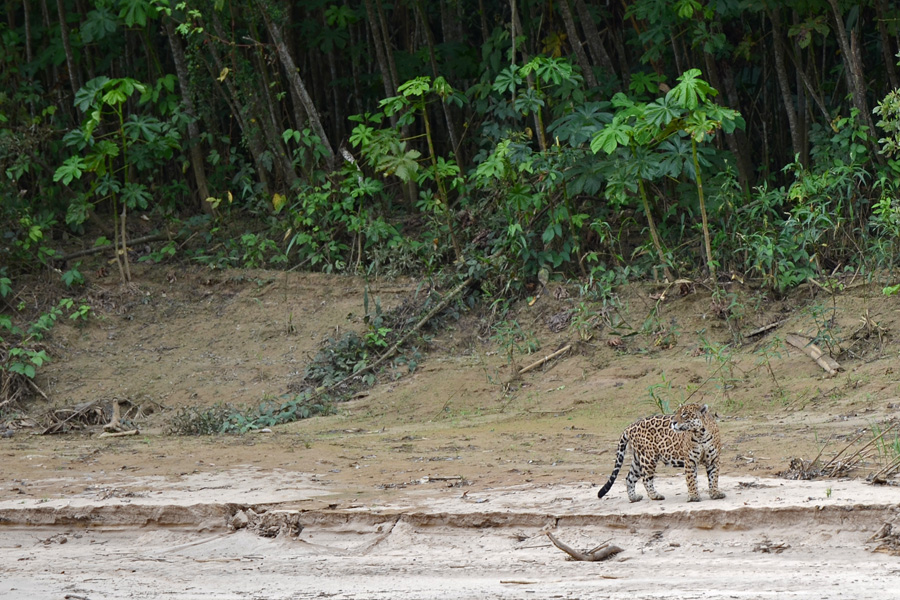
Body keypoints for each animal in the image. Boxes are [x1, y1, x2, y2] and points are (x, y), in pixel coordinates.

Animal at [596, 403, 725, 503]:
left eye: (684, 414)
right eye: (677, 413)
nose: (673, 422)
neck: (700, 434)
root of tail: (631, 426)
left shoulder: (713, 460)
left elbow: (713, 477)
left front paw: (715, 493)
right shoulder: (690, 461)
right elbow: (691, 479)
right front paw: (693, 496)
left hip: (638, 459)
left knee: (629, 478)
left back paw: (634, 498)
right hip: (648, 457)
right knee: (646, 479)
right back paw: (655, 496)